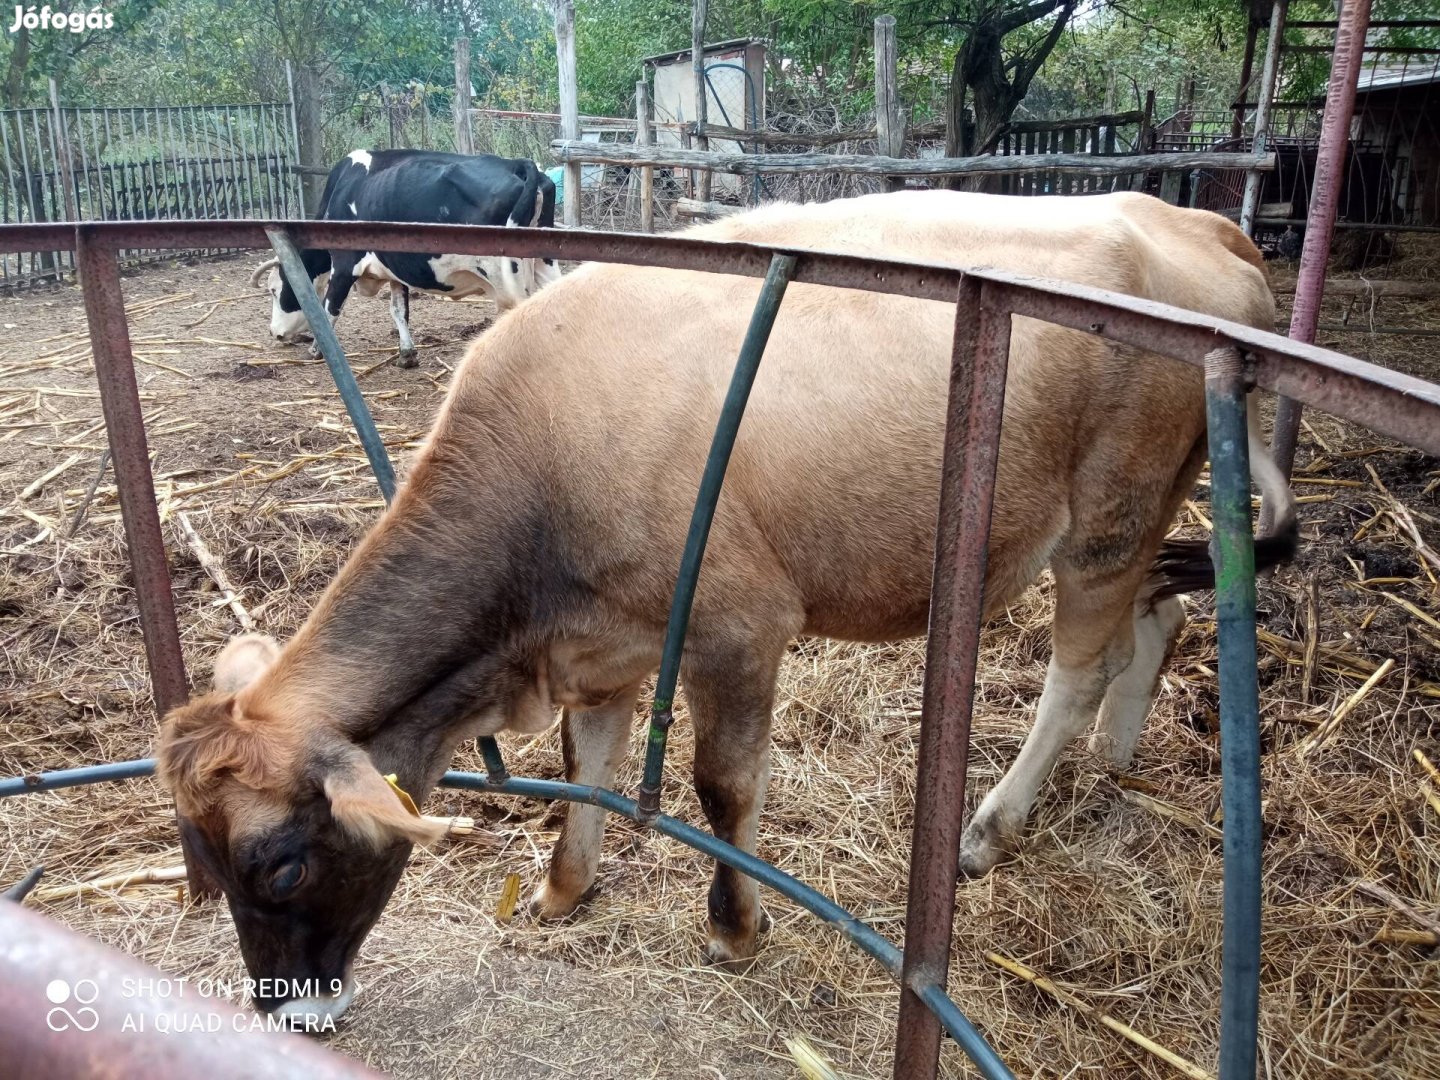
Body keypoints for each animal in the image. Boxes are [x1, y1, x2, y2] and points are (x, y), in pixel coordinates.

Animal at [154, 188, 1296, 1025]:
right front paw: (564, 889)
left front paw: (735, 927)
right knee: (1159, 620)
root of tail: (1194, 219)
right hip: (1147, 514)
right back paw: (1111, 763)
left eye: (284, 866)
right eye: (199, 853)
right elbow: (586, 764)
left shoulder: (738, 630)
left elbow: (720, 788)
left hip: (1108, 514)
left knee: (1080, 665)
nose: (282, 1010)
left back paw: (990, 824)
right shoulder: (600, 641)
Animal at [253, 150, 555, 365]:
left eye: (274, 290)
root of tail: (518, 164)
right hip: (544, 262)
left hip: (508, 275)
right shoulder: (394, 269)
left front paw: (317, 351)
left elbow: (329, 309)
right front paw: (406, 354)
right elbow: (399, 310)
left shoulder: (344, 263)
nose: (274, 333)